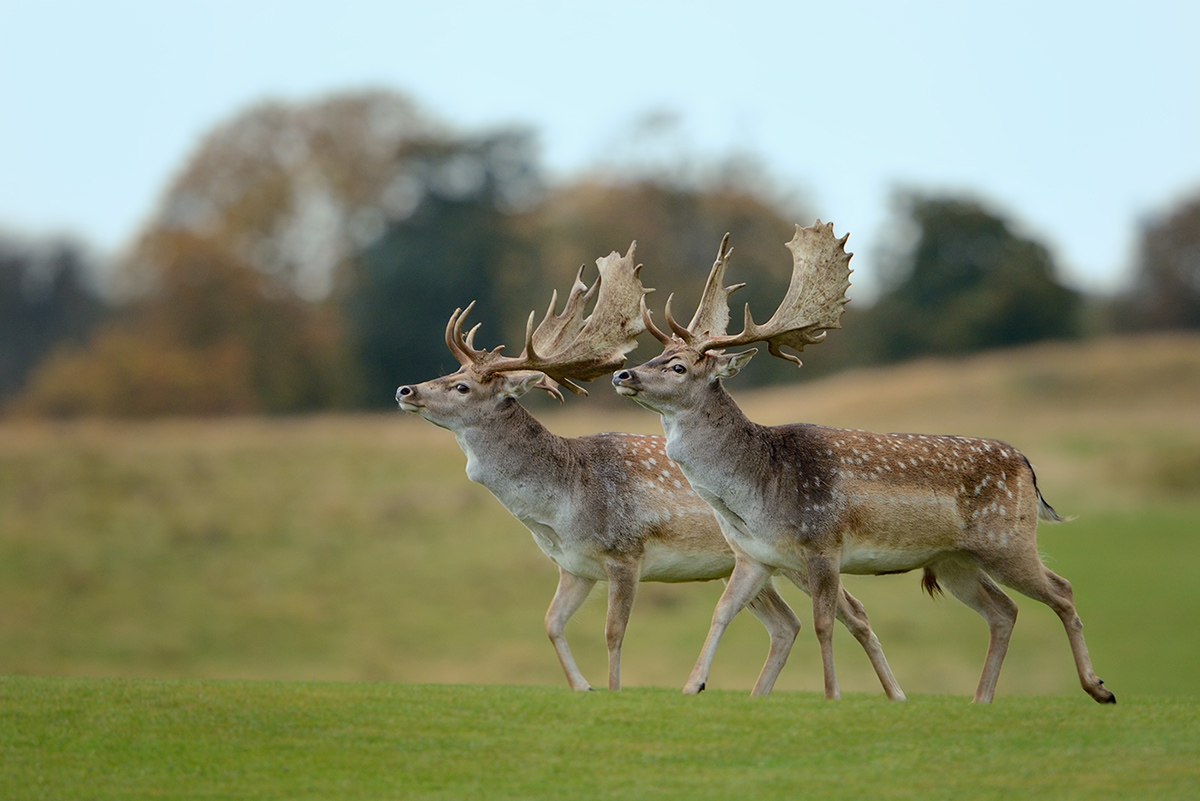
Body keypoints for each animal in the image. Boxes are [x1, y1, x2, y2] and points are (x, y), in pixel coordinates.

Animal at [398, 242, 902, 695]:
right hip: (752, 562)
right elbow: (550, 623)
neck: (561, 506)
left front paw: (612, 691)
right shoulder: (574, 567)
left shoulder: (625, 552)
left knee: (850, 612)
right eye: (448, 374)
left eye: (461, 386)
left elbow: (613, 632)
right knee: (787, 623)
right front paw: (582, 688)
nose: (406, 389)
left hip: (796, 552)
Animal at [614, 221, 1118, 705]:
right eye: (657, 354)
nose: (623, 373)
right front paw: (691, 687)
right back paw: (982, 699)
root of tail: (1028, 467)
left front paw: (832, 695)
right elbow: (722, 612)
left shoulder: (823, 543)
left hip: (1007, 539)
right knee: (1004, 610)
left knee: (1062, 590)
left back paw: (1099, 688)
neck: (757, 492)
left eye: (679, 367)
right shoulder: (755, 555)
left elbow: (823, 623)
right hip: (955, 560)